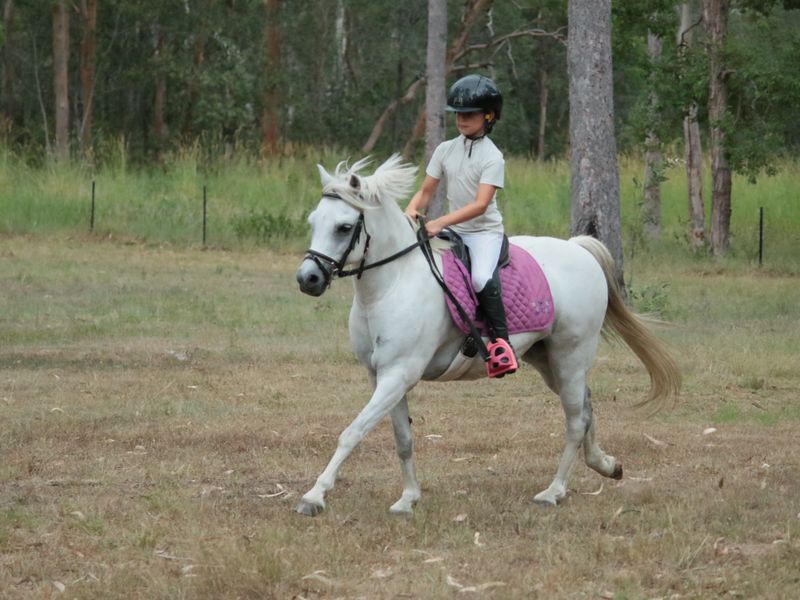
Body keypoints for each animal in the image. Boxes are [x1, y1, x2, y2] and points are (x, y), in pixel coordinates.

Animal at [294, 154, 680, 516]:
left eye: (344, 227)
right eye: (313, 222)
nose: (307, 279)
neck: (392, 285)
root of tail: (577, 248)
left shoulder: (399, 374)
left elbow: (352, 432)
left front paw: (314, 496)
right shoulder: (381, 376)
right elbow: (403, 438)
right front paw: (408, 499)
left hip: (571, 356)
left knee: (575, 420)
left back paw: (553, 492)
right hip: (548, 360)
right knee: (586, 406)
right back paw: (606, 465)